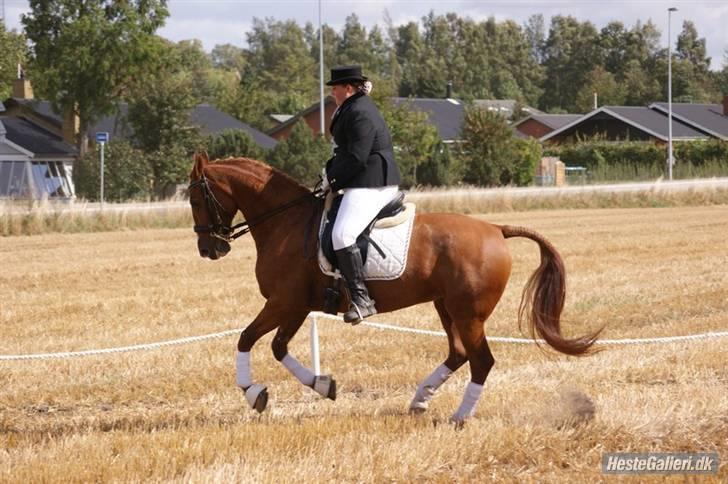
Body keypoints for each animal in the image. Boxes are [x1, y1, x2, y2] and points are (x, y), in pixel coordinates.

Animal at [188, 153, 596, 422]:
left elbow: (246, 338)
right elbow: (277, 347)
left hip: (468, 313)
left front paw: (252, 393)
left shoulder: (282, 302)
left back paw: (460, 416)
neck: (285, 223)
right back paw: (419, 400)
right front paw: (323, 385)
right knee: (459, 353)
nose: (210, 249)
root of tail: (497, 229)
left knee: (481, 360)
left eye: (194, 198)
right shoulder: (297, 305)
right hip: (446, 306)